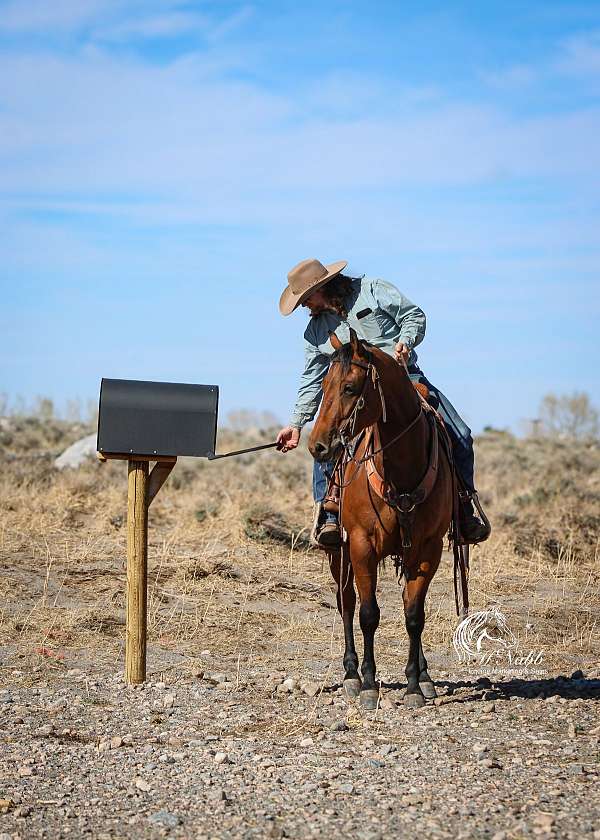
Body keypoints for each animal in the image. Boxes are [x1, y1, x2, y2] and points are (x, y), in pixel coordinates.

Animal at [308, 328, 455, 709]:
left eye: (349, 387)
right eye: (323, 384)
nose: (317, 445)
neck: (401, 468)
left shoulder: (428, 549)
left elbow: (414, 615)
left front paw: (415, 686)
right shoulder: (361, 545)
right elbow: (368, 614)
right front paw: (369, 685)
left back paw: (425, 676)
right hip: (339, 554)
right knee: (346, 604)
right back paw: (350, 674)